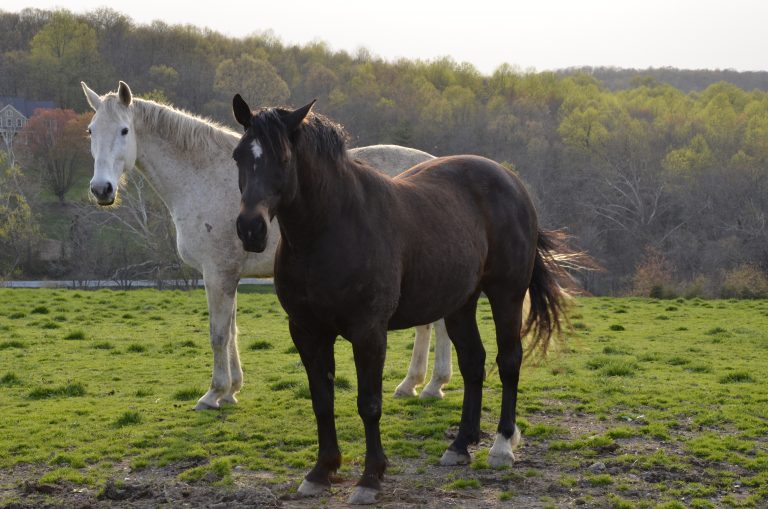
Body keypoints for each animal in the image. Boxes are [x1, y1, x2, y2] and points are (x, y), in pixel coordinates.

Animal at [79, 81, 453, 411]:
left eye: (124, 130)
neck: (202, 175)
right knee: (430, 323)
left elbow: (218, 334)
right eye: (91, 131)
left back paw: (432, 385)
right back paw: (413, 384)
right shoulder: (225, 275)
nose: (101, 189)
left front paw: (213, 394)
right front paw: (232, 390)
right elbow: (231, 331)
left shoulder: (218, 273)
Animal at [231, 96, 573, 504]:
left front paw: (370, 478)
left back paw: (502, 446)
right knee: (473, 362)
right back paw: (460, 444)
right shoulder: (307, 332)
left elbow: (369, 404)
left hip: (506, 293)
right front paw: (321, 471)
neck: (328, 230)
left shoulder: (368, 333)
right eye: (238, 155)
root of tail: (512, 183)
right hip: (460, 303)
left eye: (283, 158)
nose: (250, 229)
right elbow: (322, 402)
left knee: (508, 361)